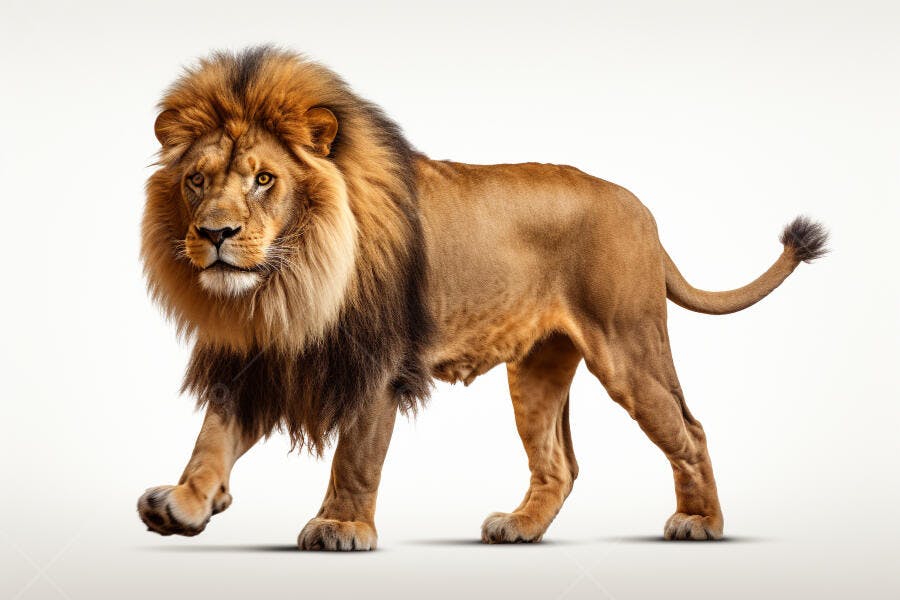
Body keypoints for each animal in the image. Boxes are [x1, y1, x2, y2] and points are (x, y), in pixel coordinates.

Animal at [138, 47, 827, 548]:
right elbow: (212, 436)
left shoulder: (378, 363)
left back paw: (701, 522)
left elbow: (356, 454)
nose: (214, 234)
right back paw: (519, 527)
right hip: (538, 369)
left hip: (628, 344)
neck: (288, 285)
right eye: (196, 180)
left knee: (691, 429)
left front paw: (341, 526)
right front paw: (184, 502)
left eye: (264, 179)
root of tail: (640, 209)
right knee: (561, 462)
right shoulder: (257, 358)